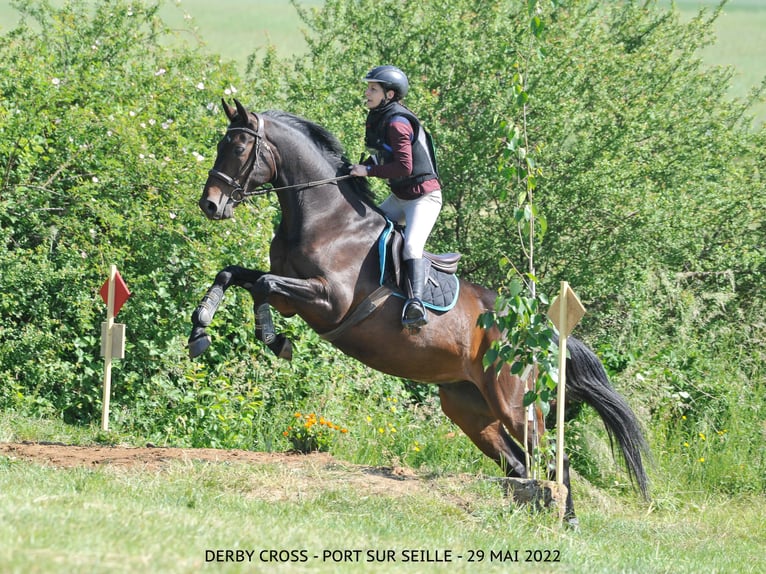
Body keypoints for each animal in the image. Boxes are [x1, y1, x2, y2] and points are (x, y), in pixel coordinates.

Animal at [189, 98, 652, 528]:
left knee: (554, 458)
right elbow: (235, 274)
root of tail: (537, 329)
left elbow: (263, 286)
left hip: (515, 403)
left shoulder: (328, 301)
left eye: (239, 148)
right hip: (469, 408)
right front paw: (201, 331)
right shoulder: (292, 296)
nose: (210, 205)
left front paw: (273, 339)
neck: (324, 219)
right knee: (519, 463)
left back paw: (566, 519)